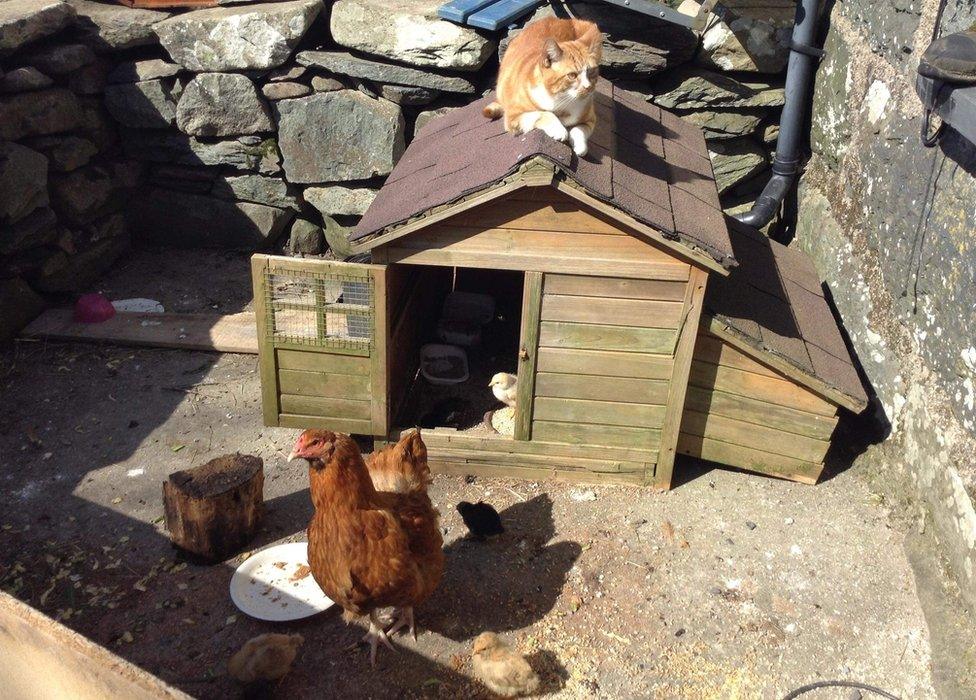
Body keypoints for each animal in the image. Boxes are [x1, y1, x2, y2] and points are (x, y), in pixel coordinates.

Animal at [482, 18, 600, 157]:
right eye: (572, 75)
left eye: (591, 71)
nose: (588, 87)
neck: (560, 100)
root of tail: (558, 19)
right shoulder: (513, 117)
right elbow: (544, 113)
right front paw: (559, 129)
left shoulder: (590, 120)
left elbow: (578, 129)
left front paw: (580, 146)